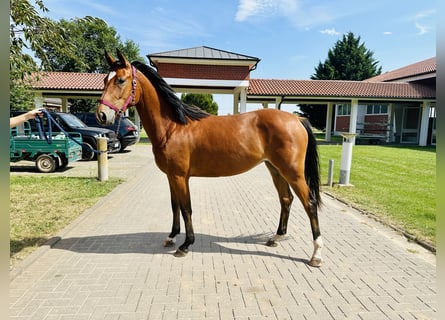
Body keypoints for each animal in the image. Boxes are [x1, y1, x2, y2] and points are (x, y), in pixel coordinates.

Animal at [96, 48, 322, 266]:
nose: (102, 115)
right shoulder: (171, 176)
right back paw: (276, 237)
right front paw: (172, 237)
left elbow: (186, 209)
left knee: (309, 204)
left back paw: (316, 255)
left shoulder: (180, 177)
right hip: (275, 169)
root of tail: (296, 119)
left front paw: (186, 245)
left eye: (121, 80)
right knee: (286, 199)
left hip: (293, 172)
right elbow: (175, 206)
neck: (173, 127)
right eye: (105, 80)